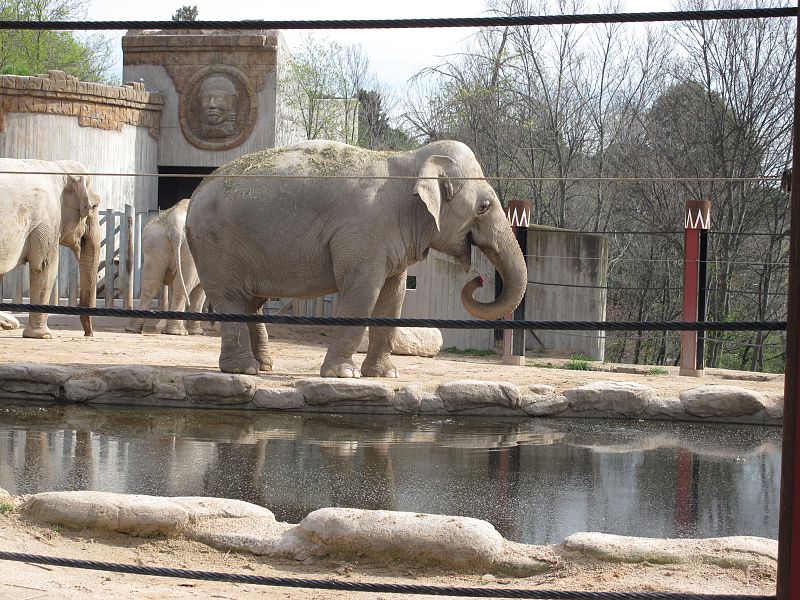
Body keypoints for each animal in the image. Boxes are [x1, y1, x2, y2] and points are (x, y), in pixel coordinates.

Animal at [0, 158, 101, 338]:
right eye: (94, 206)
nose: (88, 334)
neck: (59, 167)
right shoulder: (45, 220)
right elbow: (45, 267)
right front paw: (44, 335)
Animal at [125, 198, 205, 336]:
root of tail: (176, 225)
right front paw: (198, 332)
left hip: (154, 243)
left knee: (150, 285)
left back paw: (133, 329)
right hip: (190, 251)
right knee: (182, 287)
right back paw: (178, 332)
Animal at [185, 140, 527, 378]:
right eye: (483, 207)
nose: (478, 278)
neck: (410, 159)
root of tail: (194, 194)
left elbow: (393, 297)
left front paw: (386, 375)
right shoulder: (364, 233)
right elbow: (364, 292)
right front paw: (344, 375)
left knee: (252, 301)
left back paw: (265, 366)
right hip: (216, 247)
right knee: (231, 299)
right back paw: (243, 370)